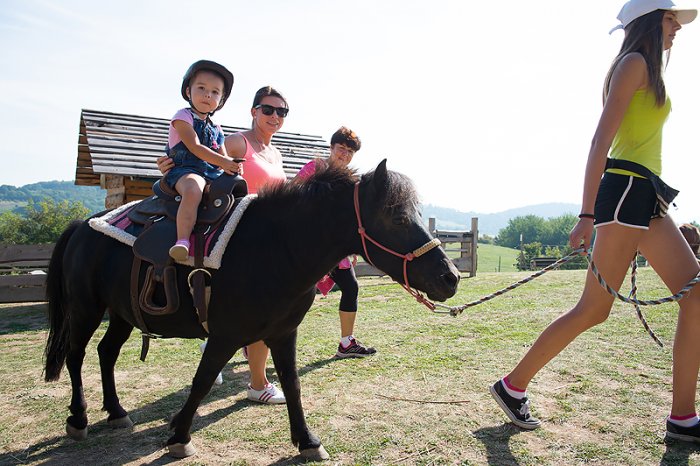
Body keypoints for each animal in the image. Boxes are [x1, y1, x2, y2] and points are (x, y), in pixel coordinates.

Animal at [43, 159, 460, 458]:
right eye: (397, 217)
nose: (450, 276)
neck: (275, 247)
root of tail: (82, 225)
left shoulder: (283, 332)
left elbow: (292, 383)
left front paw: (307, 440)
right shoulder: (224, 336)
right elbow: (202, 380)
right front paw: (179, 435)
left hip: (121, 314)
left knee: (106, 352)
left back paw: (116, 412)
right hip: (87, 309)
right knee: (77, 355)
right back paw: (78, 418)